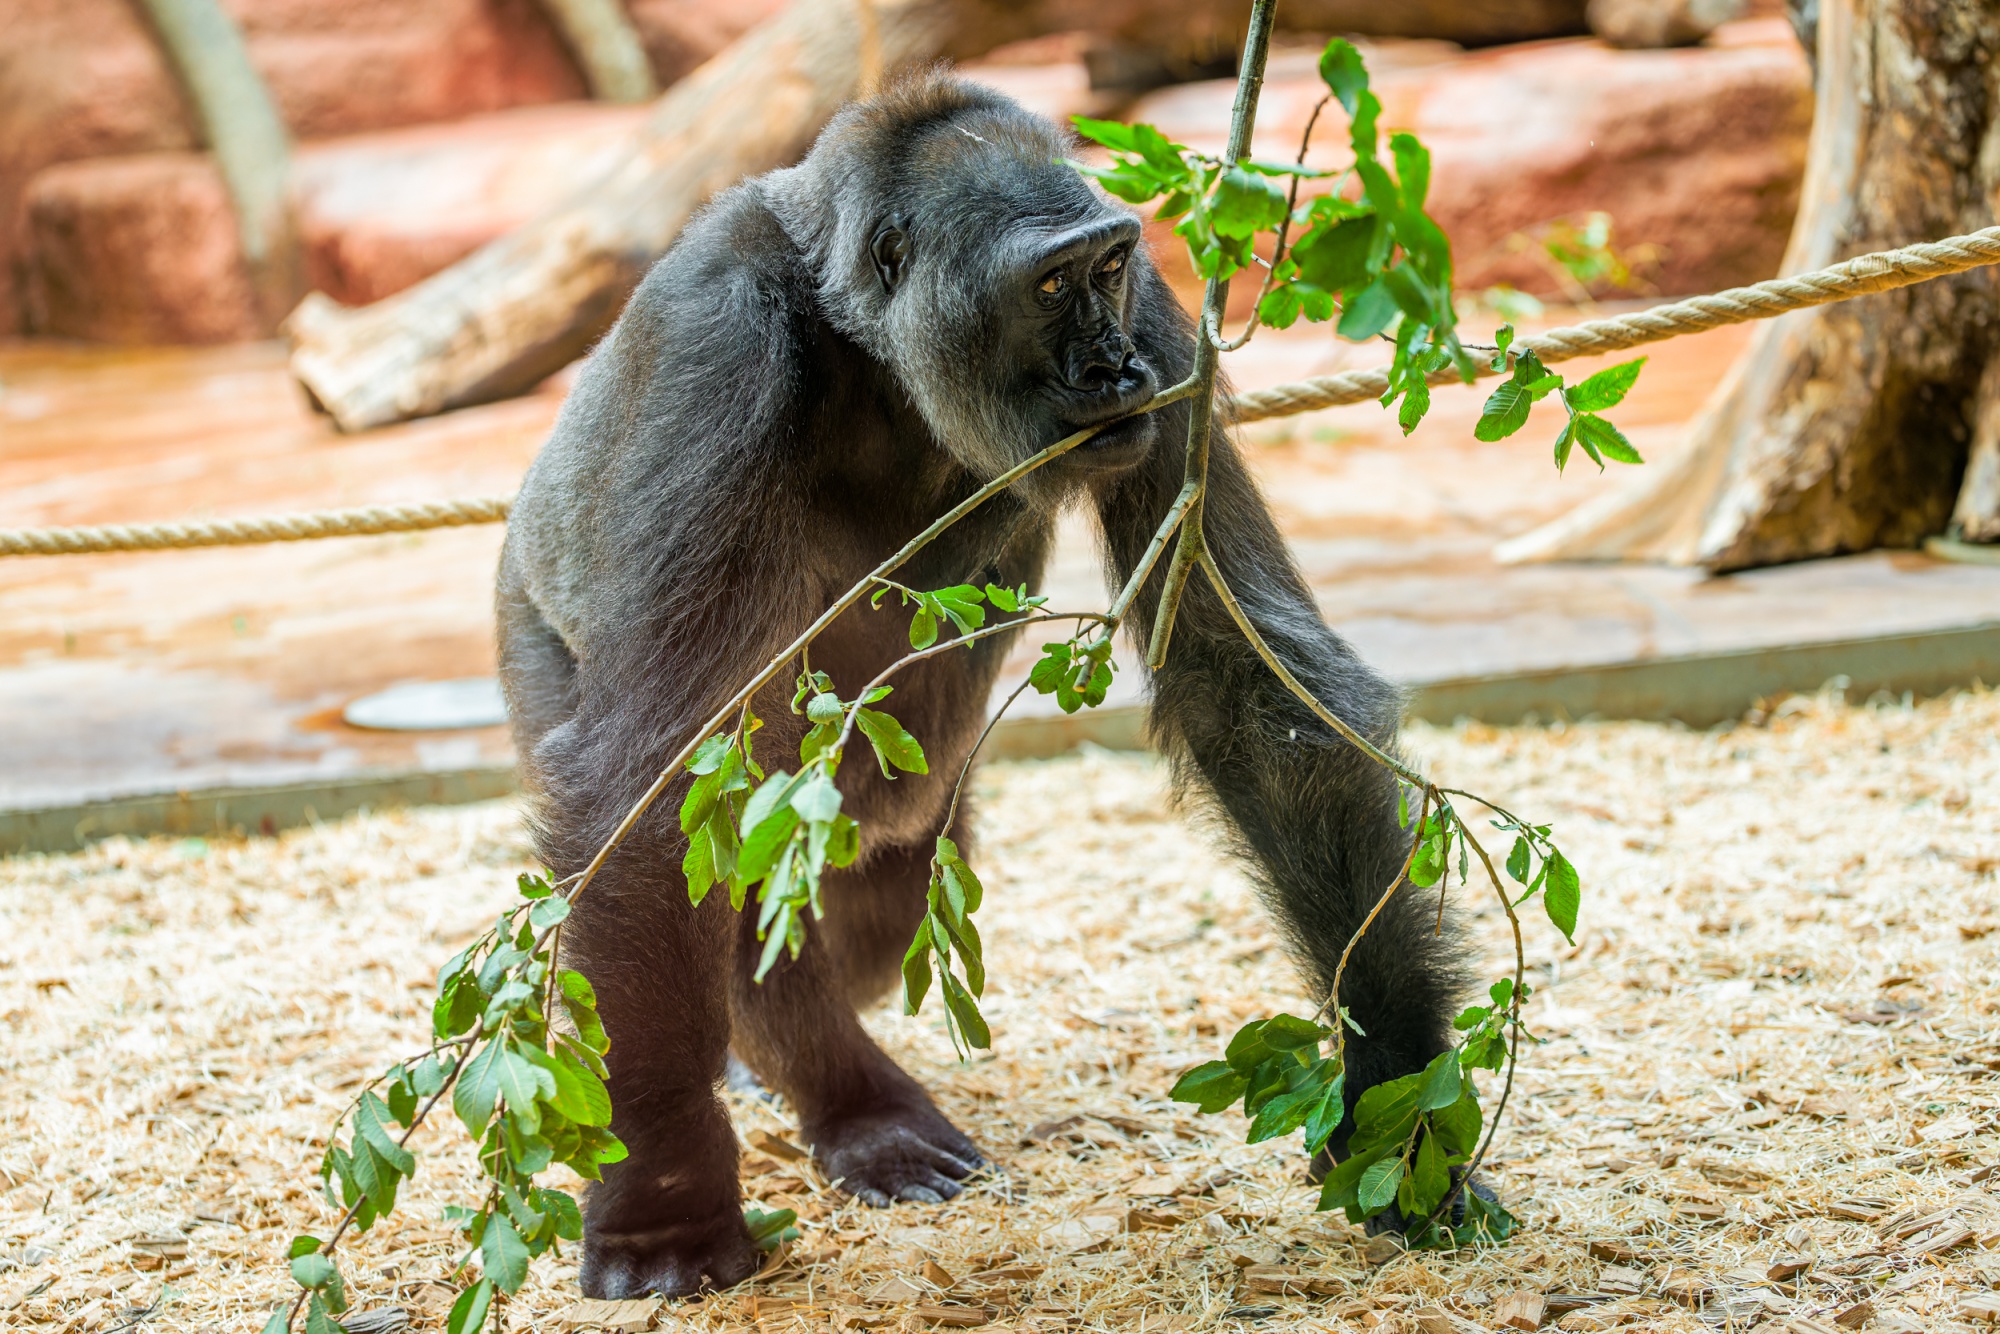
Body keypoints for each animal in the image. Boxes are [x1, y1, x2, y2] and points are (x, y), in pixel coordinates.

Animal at [500, 75, 1472, 1304]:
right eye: (1049, 286)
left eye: (1108, 268)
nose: (1113, 370)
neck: (870, 343)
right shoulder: (712, 333)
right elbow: (657, 779)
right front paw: (664, 1197)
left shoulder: (1167, 322)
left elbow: (1244, 681)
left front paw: (1397, 1100)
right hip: (526, 619)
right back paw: (844, 1102)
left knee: (870, 909)